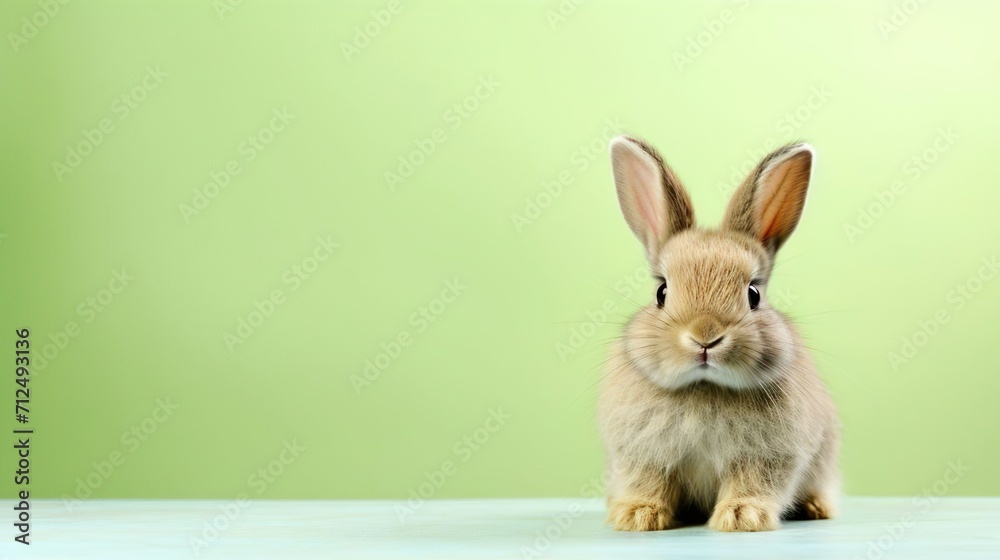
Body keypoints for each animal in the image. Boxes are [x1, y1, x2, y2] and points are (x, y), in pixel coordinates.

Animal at [598, 135, 840, 532]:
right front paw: (636, 515)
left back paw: (816, 507)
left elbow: (753, 482)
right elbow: (647, 481)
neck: (704, 387)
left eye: (753, 294)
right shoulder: (642, 453)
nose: (705, 337)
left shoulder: (767, 456)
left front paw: (742, 517)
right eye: (661, 292)